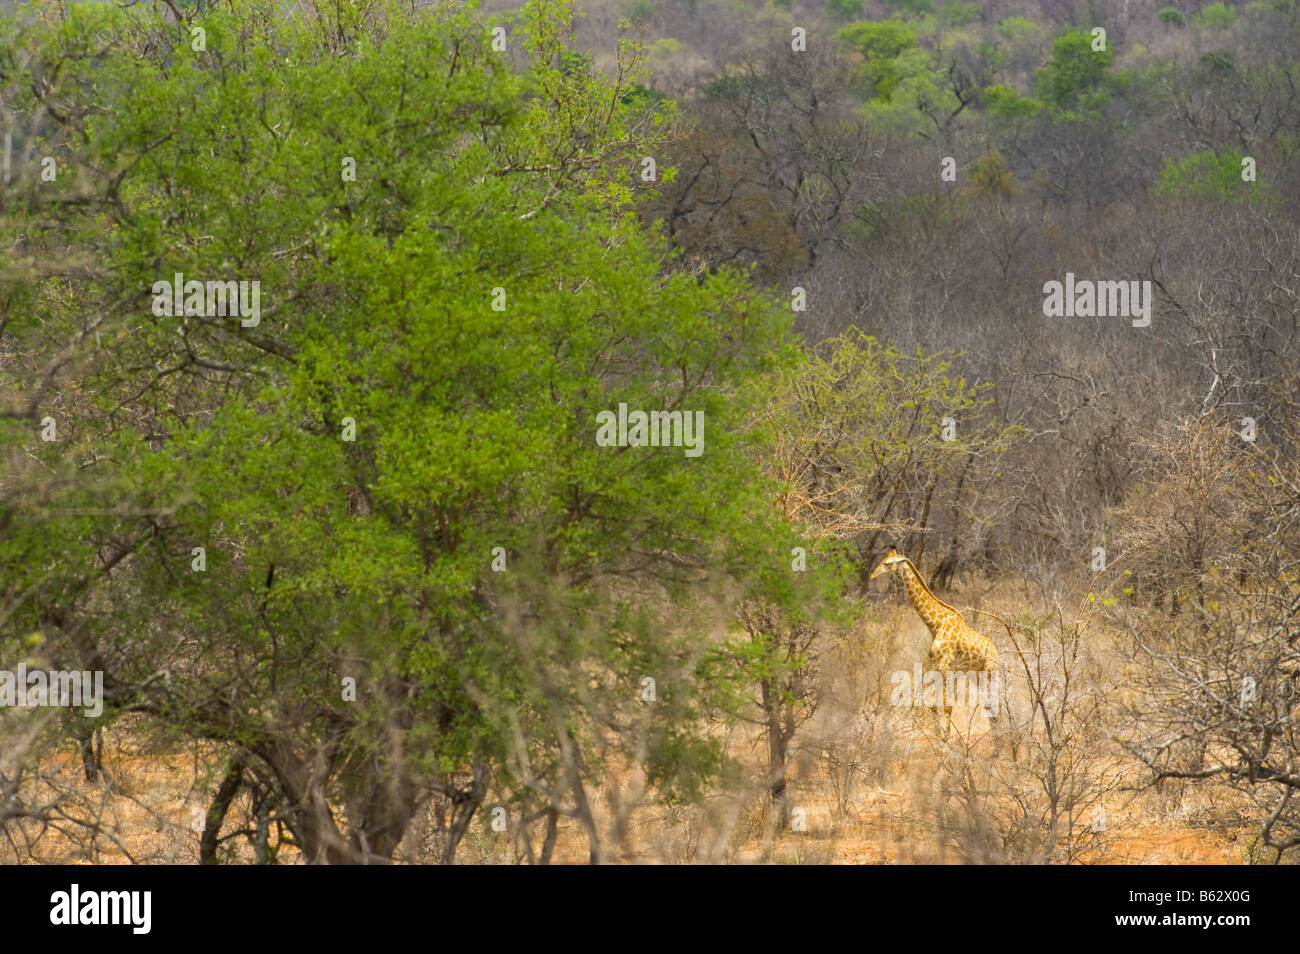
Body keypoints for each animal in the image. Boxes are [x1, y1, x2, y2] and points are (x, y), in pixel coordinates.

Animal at [870, 546, 1001, 736]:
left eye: (887, 563)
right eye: (883, 560)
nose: (872, 576)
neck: (936, 624)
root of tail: (997, 654)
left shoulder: (945, 666)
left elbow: (946, 705)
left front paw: (946, 738)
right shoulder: (935, 666)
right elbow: (932, 703)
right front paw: (940, 735)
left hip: (990, 673)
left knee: (995, 706)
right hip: (977, 674)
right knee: (990, 707)